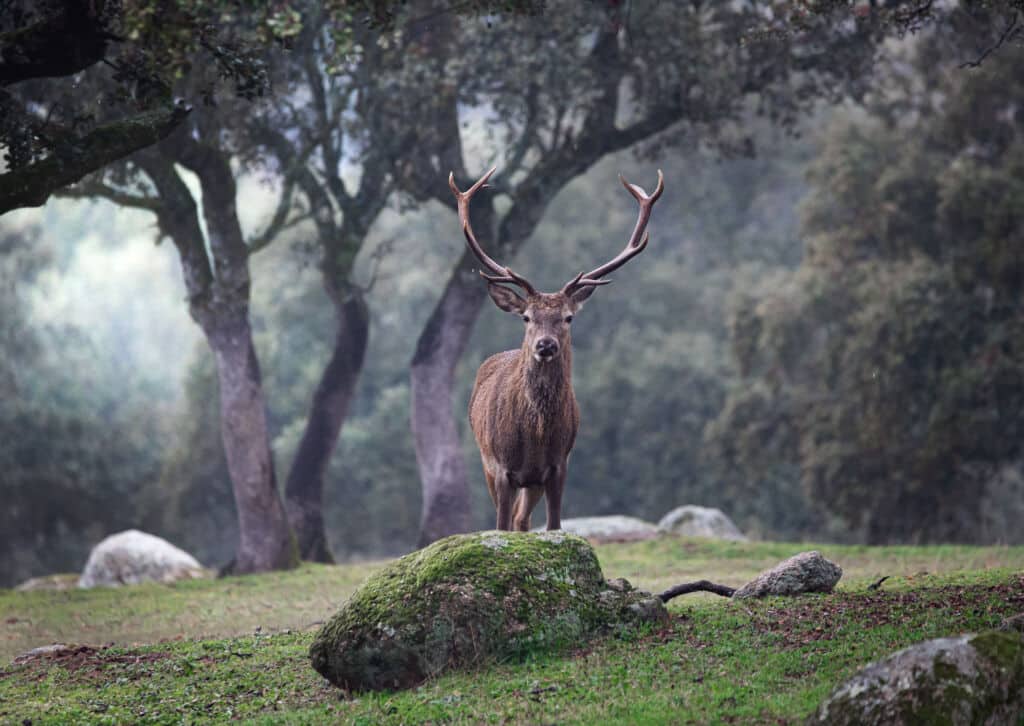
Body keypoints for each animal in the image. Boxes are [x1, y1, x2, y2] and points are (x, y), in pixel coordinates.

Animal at [449, 166, 664, 532]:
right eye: (526, 317)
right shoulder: (500, 468)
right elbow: (500, 526)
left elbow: (553, 526)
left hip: (532, 482)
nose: (545, 345)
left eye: (568, 317)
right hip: (486, 463)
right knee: (513, 519)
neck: (535, 436)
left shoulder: (558, 466)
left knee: (522, 520)